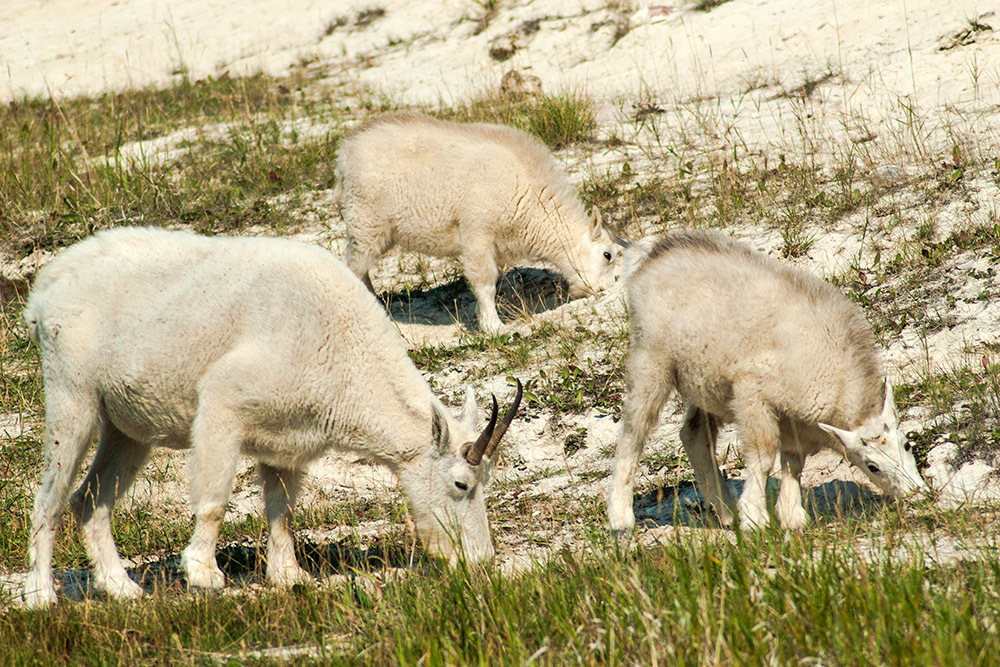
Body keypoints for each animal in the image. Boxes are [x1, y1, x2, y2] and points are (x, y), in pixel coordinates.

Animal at [19, 227, 524, 608]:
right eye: (461, 484)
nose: (479, 561)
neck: (340, 346)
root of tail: (44, 291)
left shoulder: (288, 443)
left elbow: (282, 508)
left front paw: (289, 576)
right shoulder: (224, 403)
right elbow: (216, 497)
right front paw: (204, 574)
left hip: (127, 427)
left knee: (90, 499)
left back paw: (122, 588)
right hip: (72, 396)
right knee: (49, 498)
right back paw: (42, 596)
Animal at [334, 114, 624, 334]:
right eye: (607, 255)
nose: (604, 290)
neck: (529, 196)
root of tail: (346, 152)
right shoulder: (477, 233)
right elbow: (485, 282)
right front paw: (494, 327)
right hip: (366, 222)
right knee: (354, 267)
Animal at [608, 232, 928, 536]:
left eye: (907, 443)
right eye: (872, 466)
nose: (917, 493)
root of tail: (648, 255)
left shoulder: (796, 419)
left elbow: (793, 463)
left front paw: (791, 517)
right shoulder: (752, 393)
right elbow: (763, 456)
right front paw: (755, 518)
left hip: (705, 382)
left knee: (694, 435)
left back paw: (727, 514)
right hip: (651, 358)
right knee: (633, 433)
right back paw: (621, 517)